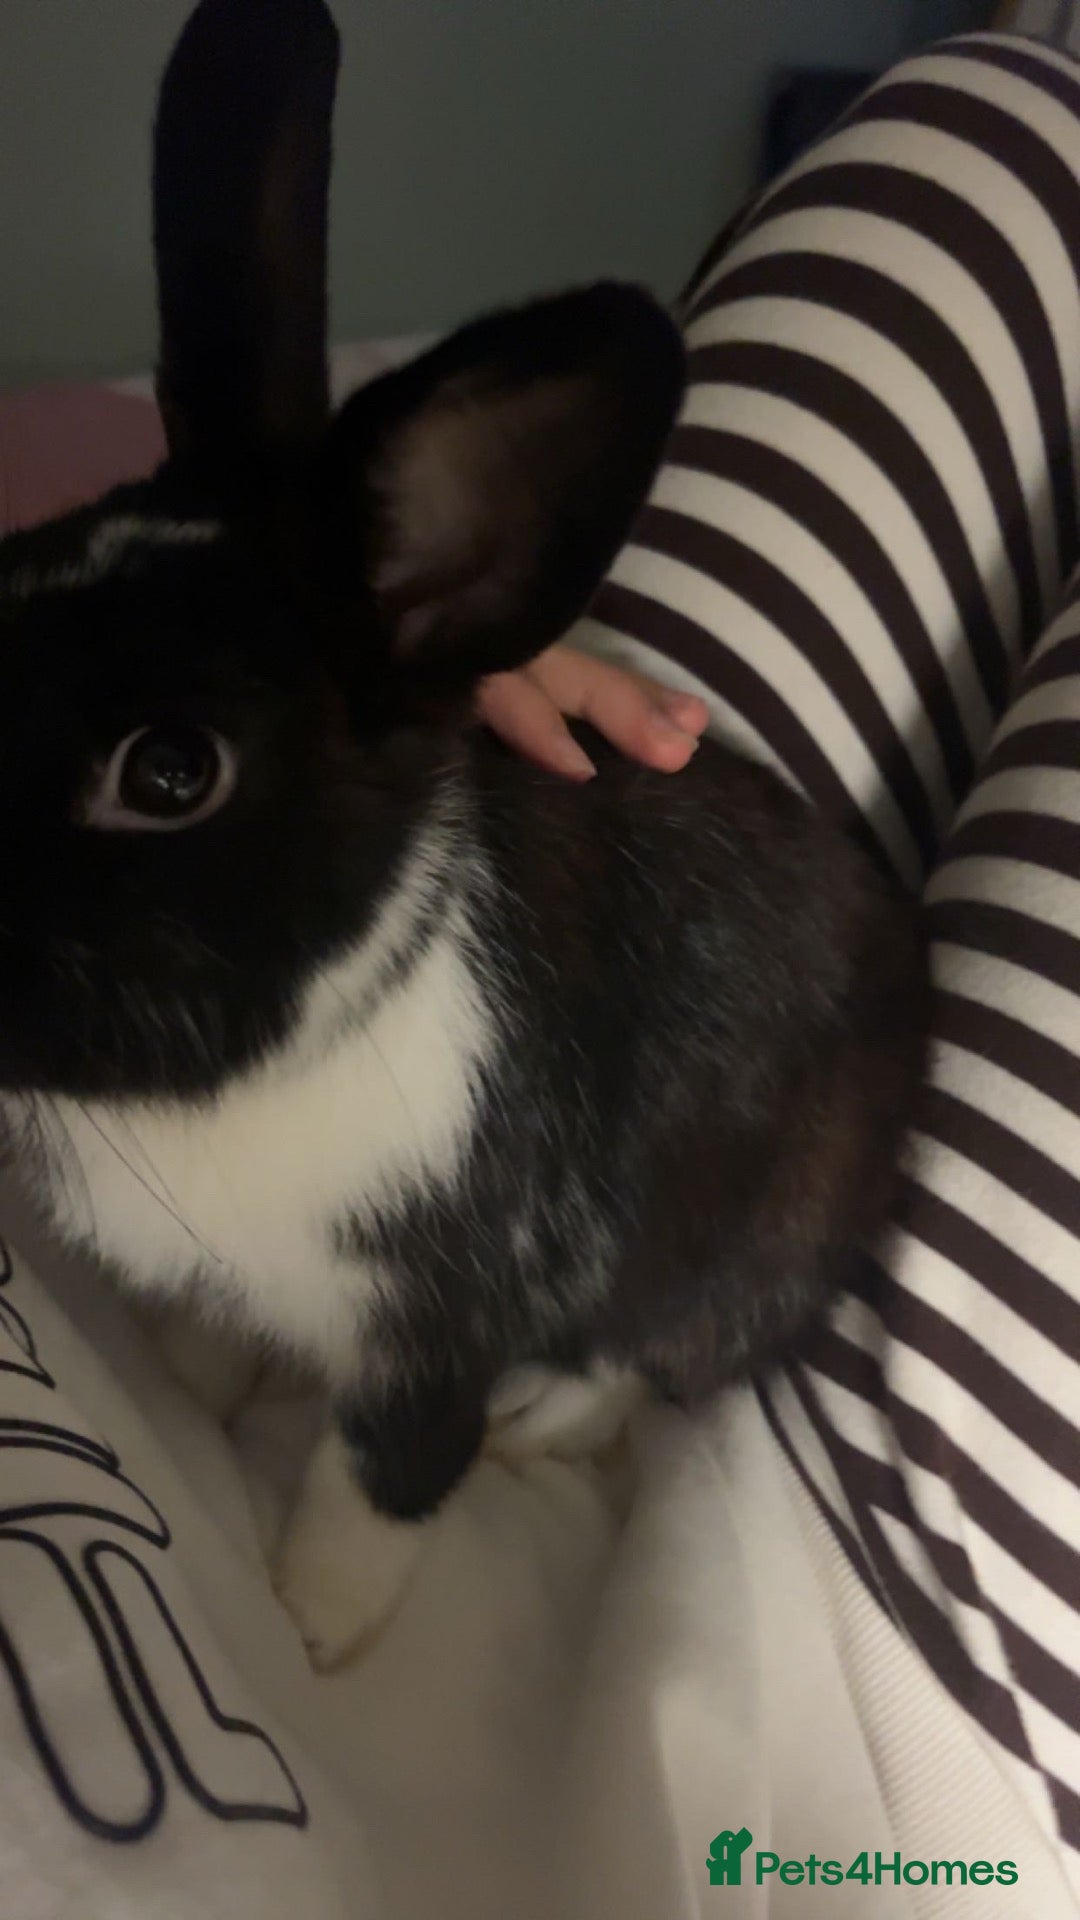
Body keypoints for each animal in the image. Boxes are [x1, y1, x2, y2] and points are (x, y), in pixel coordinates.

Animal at [0, 0, 928, 1670]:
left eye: (169, 772)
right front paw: (203, 1382)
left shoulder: (442, 1316)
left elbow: (385, 1472)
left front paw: (316, 1628)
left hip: (746, 1234)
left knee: (662, 1350)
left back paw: (544, 1428)